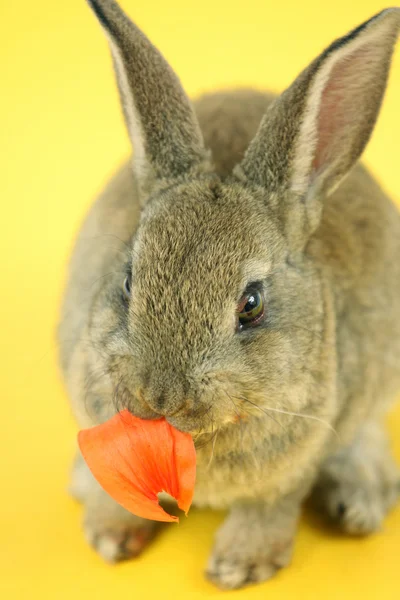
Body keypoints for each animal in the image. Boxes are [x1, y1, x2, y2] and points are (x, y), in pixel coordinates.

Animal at [58, 0, 400, 592]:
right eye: (128, 281)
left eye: (252, 305)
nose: (160, 397)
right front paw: (109, 537)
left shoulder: (290, 470)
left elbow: (268, 509)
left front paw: (237, 567)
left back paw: (358, 505)